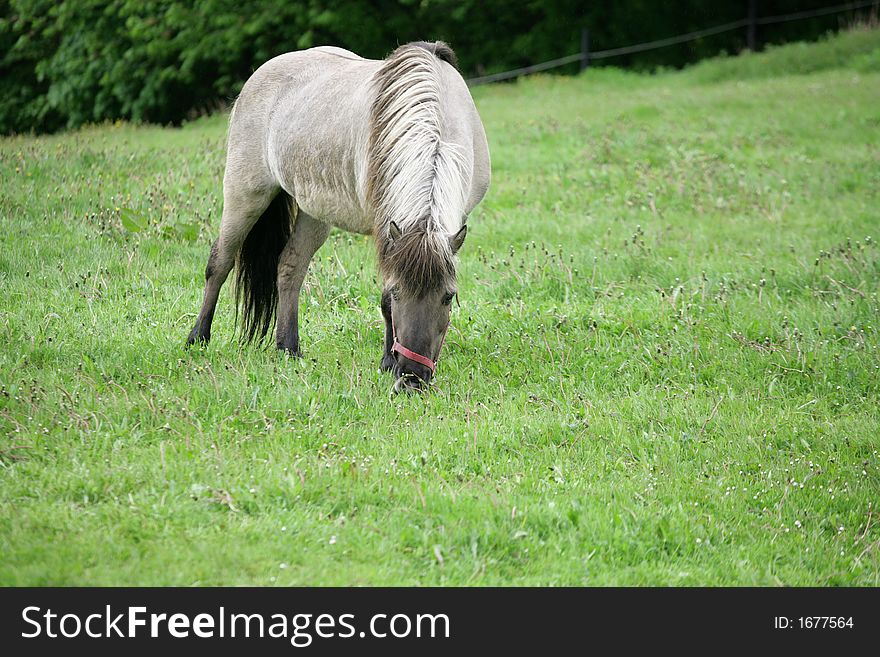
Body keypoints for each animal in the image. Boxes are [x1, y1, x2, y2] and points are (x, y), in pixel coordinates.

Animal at [186, 41, 492, 392]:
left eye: (448, 296)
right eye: (398, 292)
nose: (412, 379)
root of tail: (261, 73)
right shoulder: (385, 227)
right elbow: (383, 300)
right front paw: (387, 363)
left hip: (314, 211)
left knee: (290, 267)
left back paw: (288, 348)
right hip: (245, 194)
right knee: (220, 262)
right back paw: (197, 338)